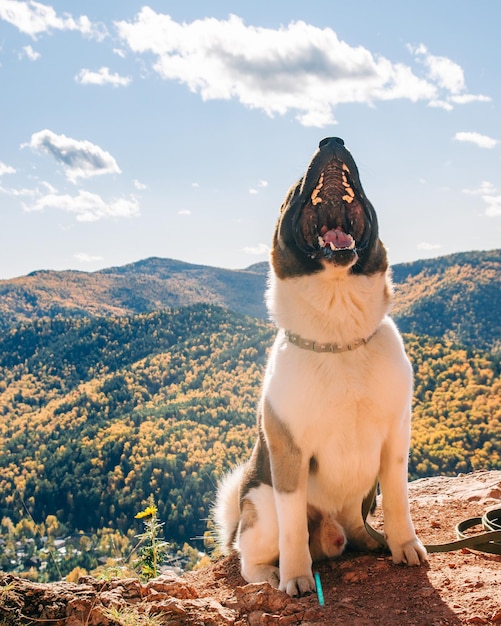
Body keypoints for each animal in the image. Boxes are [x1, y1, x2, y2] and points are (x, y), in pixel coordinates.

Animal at [211, 136, 426, 596]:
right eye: (294, 187)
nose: (332, 140)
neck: (338, 337)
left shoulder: (395, 440)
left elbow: (399, 500)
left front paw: (404, 545)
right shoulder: (289, 454)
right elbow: (293, 528)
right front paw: (296, 577)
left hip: (360, 499)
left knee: (355, 525)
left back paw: (373, 540)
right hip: (260, 507)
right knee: (248, 555)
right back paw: (270, 574)